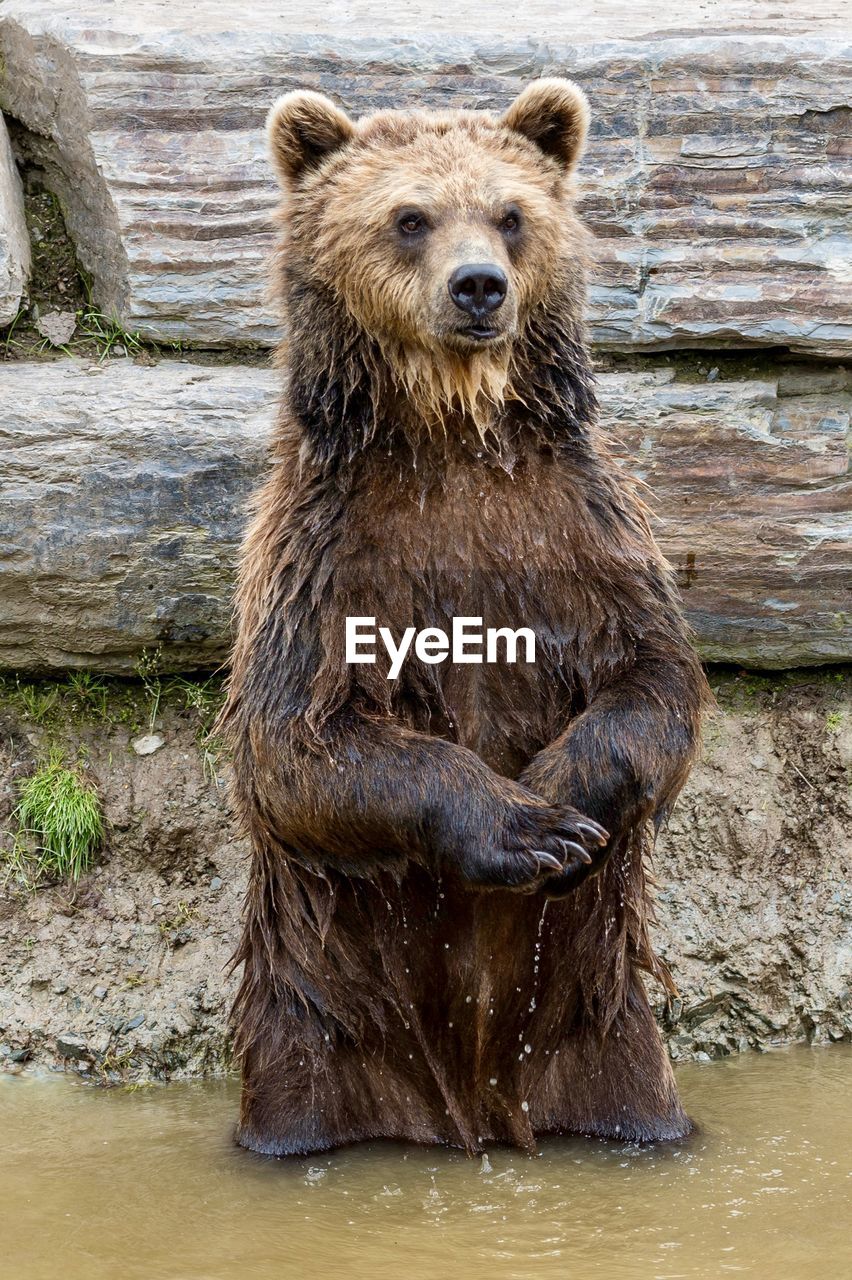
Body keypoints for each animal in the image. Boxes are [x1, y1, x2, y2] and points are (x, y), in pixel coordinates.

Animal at [218, 82, 701, 1162]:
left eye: (512, 213)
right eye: (410, 217)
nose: (479, 286)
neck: (452, 434)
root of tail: (467, 1114)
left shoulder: (585, 532)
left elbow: (655, 682)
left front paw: (563, 798)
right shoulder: (323, 557)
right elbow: (296, 740)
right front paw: (523, 827)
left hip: (601, 1028)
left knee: (635, 1091)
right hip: (320, 1023)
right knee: (297, 1098)